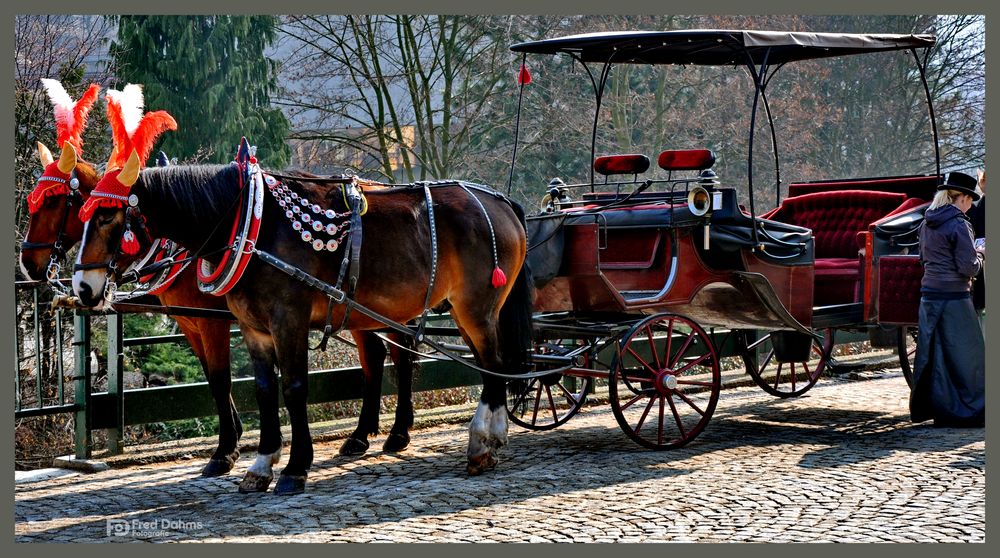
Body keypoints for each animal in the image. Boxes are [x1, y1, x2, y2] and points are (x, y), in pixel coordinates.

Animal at [20, 142, 418, 474]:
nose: (28, 263)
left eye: (54, 202)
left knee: (397, 354)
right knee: (377, 355)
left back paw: (396, 431)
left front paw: (225, 450)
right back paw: (363, 434)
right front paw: (239, 438)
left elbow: (221, 378)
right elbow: (214, 380)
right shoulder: (191, 322)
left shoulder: (214, 323)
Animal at [74, 155, 536, 496]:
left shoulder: (287, 320)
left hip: (475, 308)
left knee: (492, 365)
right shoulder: (254, 328)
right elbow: (264, 391)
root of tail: (499, 201)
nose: (82, 287)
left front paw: (295, 467)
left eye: (107, 218)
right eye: (81, 215)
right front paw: (261, 464)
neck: (251, 224)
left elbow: (294, 388)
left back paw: (482, 441)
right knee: (483, 366)